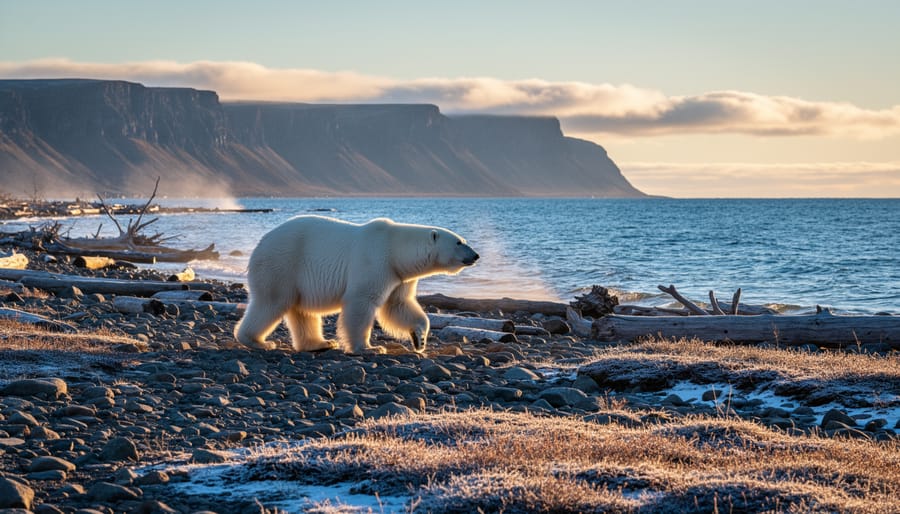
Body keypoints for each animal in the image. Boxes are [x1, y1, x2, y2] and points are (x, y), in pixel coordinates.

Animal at [234, 215, 479, 354]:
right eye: (459, 242)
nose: (475, 255)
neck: (395, 248)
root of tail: (260, 244)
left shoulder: (398, 275)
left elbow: (399, 305)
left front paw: (420, 338)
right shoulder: (374, 260)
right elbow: (362, 302)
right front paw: (370, 348)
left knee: (302, 311)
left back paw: (320, 343)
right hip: (282, 263)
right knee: (271, 302)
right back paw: (257, 341)